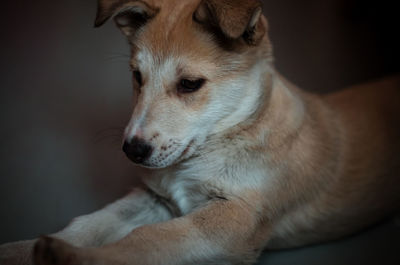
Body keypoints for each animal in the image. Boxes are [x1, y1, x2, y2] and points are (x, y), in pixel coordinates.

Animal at [0, 0, 400, 262]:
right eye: (137, 76)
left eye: (190, 84)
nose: (132, 151)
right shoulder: (156, 198)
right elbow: (90, 224)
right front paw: (20, 251)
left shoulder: (234, 220)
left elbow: (146, 240)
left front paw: (71, 258)